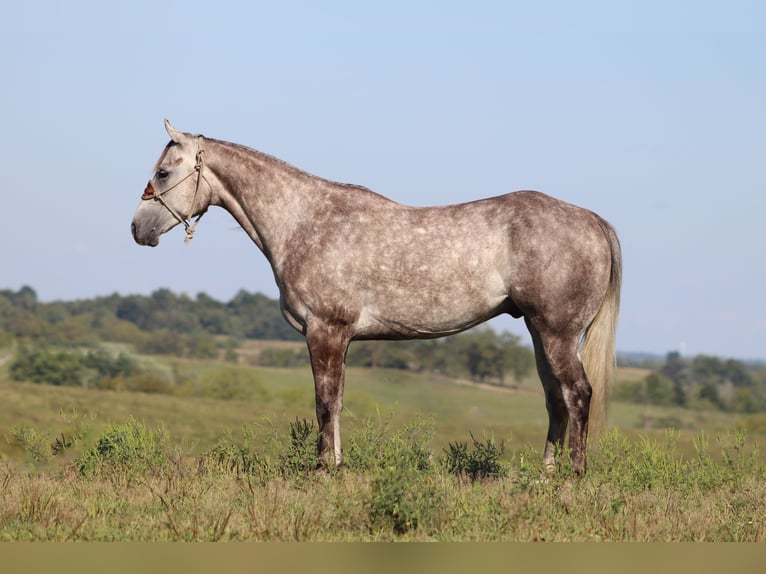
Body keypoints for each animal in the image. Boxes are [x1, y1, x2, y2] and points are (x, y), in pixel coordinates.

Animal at [131, 120, 621, 474]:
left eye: (163, 171)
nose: (138, 228)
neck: (305, 221)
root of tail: (593, 221)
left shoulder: (325, 332)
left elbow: (325, 403)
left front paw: (323, 470)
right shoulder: (339, 339)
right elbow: (337, 401)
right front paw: (337, 465)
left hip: (557, 334)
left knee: (578, 394)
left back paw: (574, 476)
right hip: (541, 334)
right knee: (555, 398)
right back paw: (545, 475)